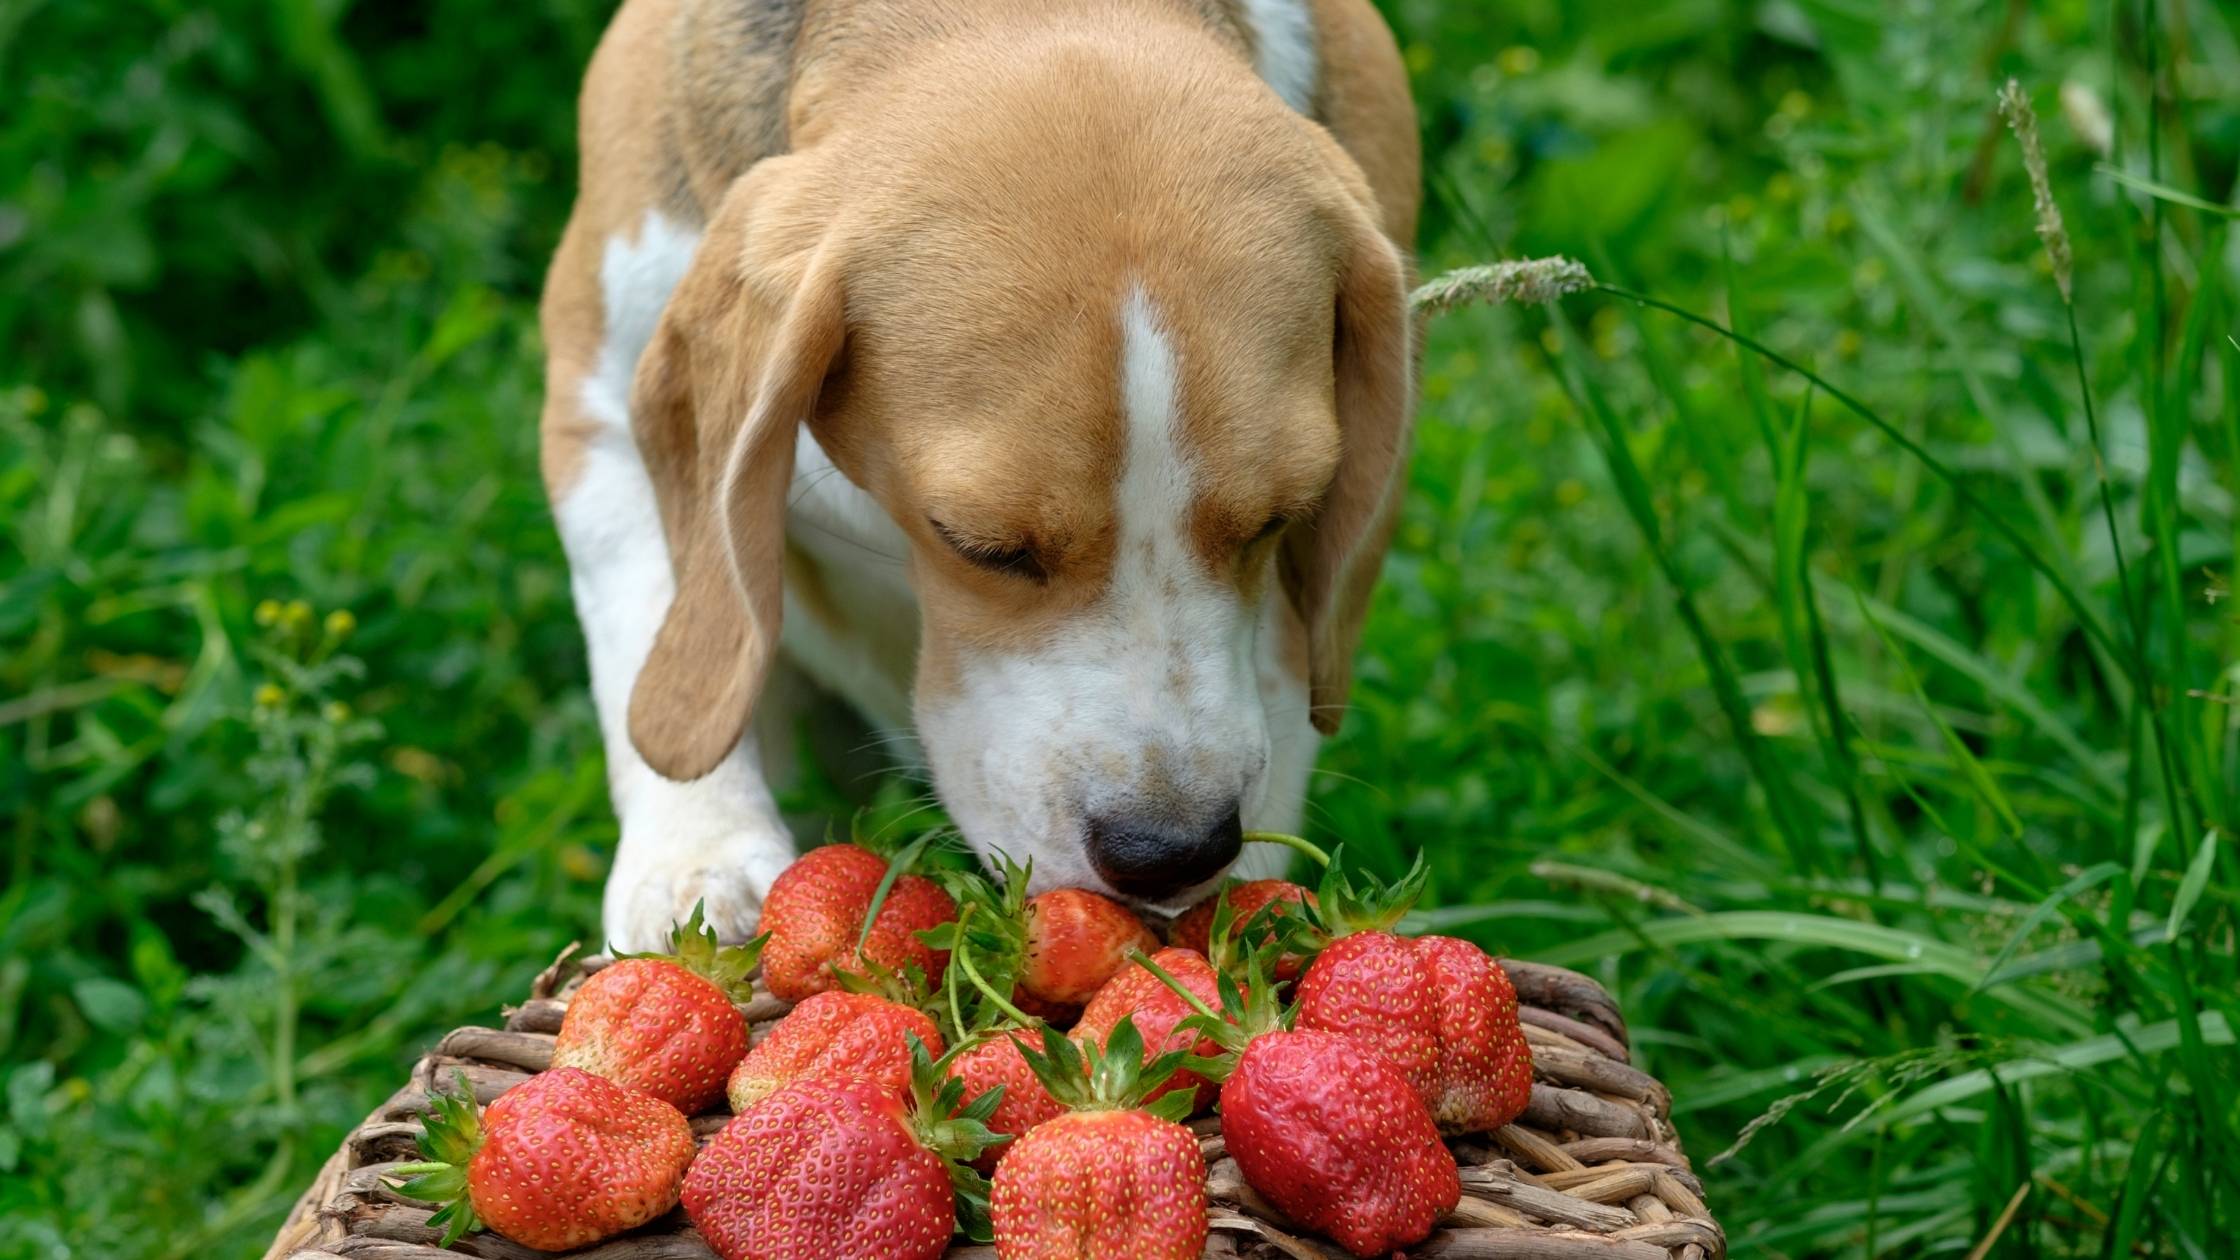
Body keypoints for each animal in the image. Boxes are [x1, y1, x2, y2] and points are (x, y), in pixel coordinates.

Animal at [539, 0, 1415, 941]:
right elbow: (652, 606)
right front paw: (697, 859)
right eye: (980, 546)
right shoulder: (597, 403)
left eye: (1280, 520)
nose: (1171, 850)